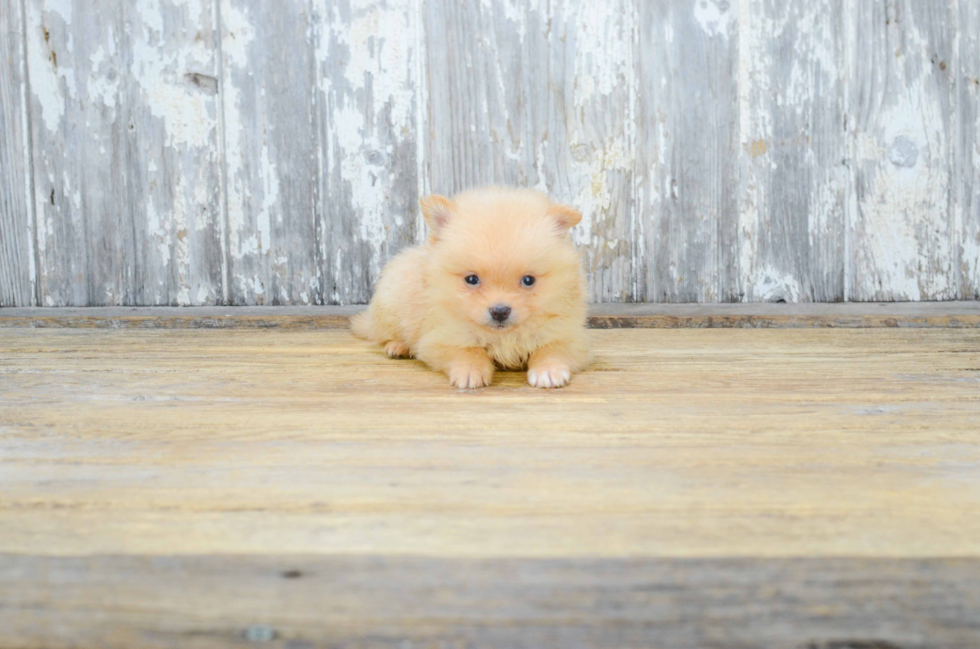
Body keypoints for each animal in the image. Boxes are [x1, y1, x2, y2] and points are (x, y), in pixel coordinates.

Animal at [352, 187, 588, 390]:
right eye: (472, 279)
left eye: (528, 280)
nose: (500, 311)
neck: (503, 336)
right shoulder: (441, 338)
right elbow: (468, 350)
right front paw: (470, 371)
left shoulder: (567, 334)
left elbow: (552, 348)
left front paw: (548, 371)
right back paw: (397, 346)